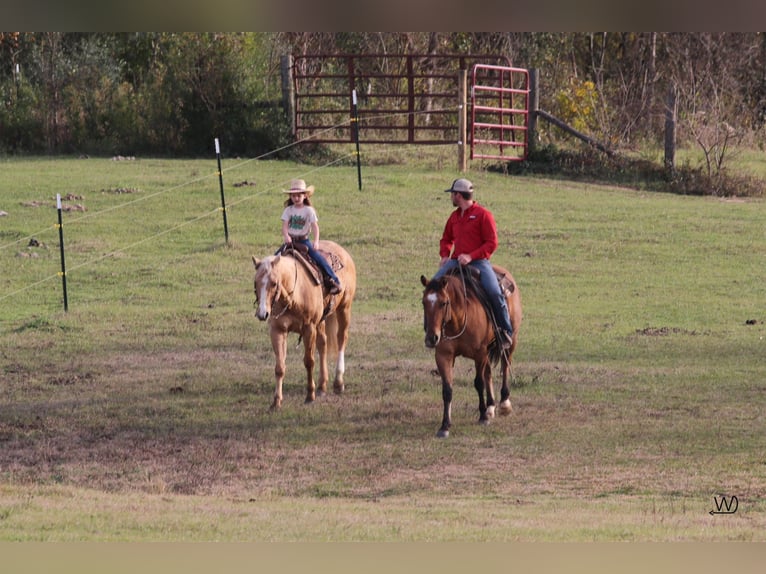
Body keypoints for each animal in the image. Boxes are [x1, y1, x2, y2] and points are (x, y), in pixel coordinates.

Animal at [255, 241, 356, 412]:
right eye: (255, 282)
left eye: (274, 283)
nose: (263, 313)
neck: (293, 296)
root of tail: (343, 252)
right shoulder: (277, 330)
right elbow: (279, 367)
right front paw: (276, 401)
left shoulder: (309, 328)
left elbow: (309, 362)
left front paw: (310, 395)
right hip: (321, 320)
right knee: (323, 343)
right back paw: (322, 386)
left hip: (344, 308)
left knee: (341, 338)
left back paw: (338, 382)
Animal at [420, 266, 520, 440]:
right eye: (424, 302)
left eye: (443, 303)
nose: (432, 338)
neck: (457, 321)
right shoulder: (443, 356)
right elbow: (447, 390)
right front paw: (445, 426)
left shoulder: (479, 353)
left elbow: (478, 383)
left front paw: (483, 417)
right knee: (488, 373)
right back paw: (491, 407)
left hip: (510, 341)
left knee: (505, 366)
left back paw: (504, 403)